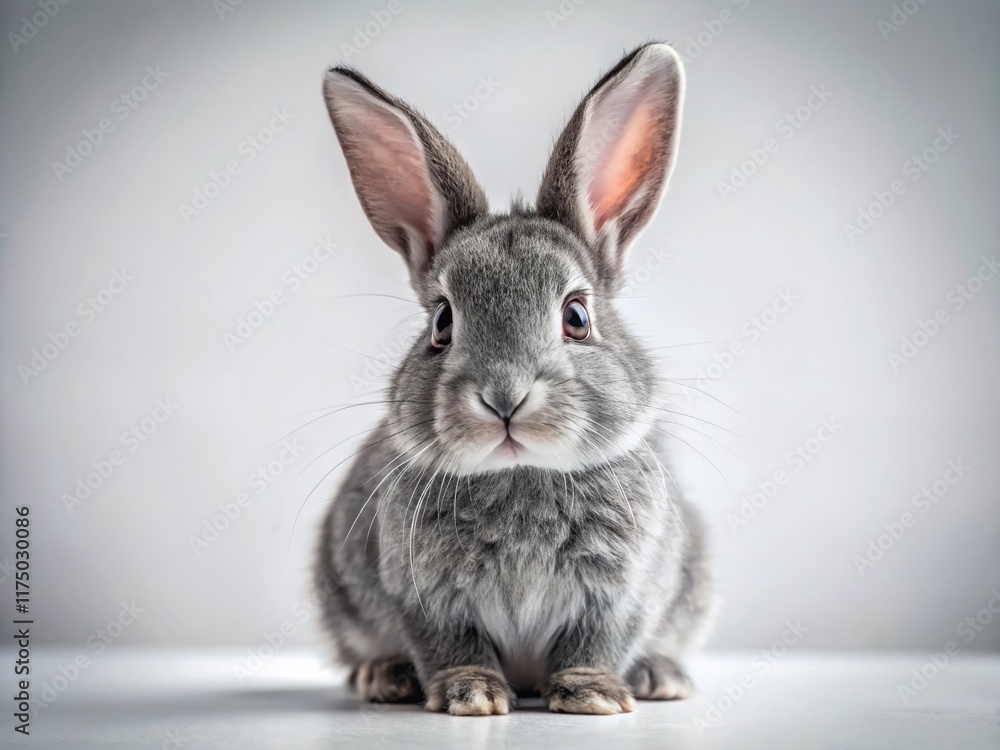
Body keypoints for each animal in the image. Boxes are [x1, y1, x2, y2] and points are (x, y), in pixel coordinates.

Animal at [314, 41, 715, 716]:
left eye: (576, 316)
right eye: (442, 322)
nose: (504, 397)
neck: (520, 473)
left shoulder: (621, 590)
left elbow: (596, 640)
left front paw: (591, 695)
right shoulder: (424, 596)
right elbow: (452, 645)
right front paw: (470, 695)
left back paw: (660, 677)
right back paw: (384, 676)